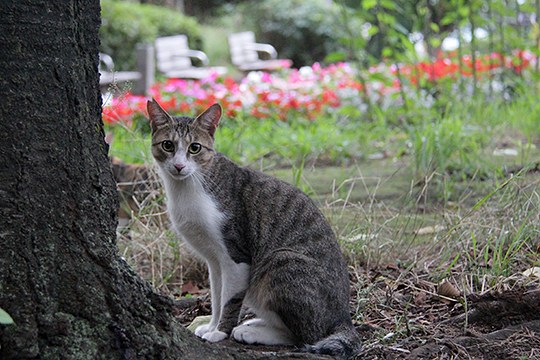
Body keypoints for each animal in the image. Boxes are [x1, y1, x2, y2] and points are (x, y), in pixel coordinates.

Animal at [146, 99, 360, 358]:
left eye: (194, 148)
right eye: (168, 145)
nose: (179, 165)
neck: (190, 185)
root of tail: (344, 318)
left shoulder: (235, 256)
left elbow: (229, 300)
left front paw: (220, 332)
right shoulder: (214, 261)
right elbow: (217, 297)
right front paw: (211, 325)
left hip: (281, 260)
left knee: (305, 335)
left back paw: (255, 332)